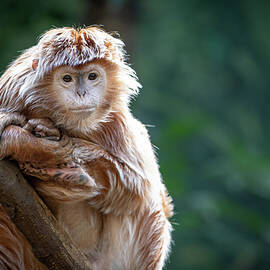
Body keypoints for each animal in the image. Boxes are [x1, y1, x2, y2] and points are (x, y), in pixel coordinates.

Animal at [0, 26, 173, 268]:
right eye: (67, 78)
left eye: (92, 76)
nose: (81, 94)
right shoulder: (11, 89)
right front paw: (31, 144)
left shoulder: (115, 121)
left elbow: (140, 188)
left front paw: (61, 147)